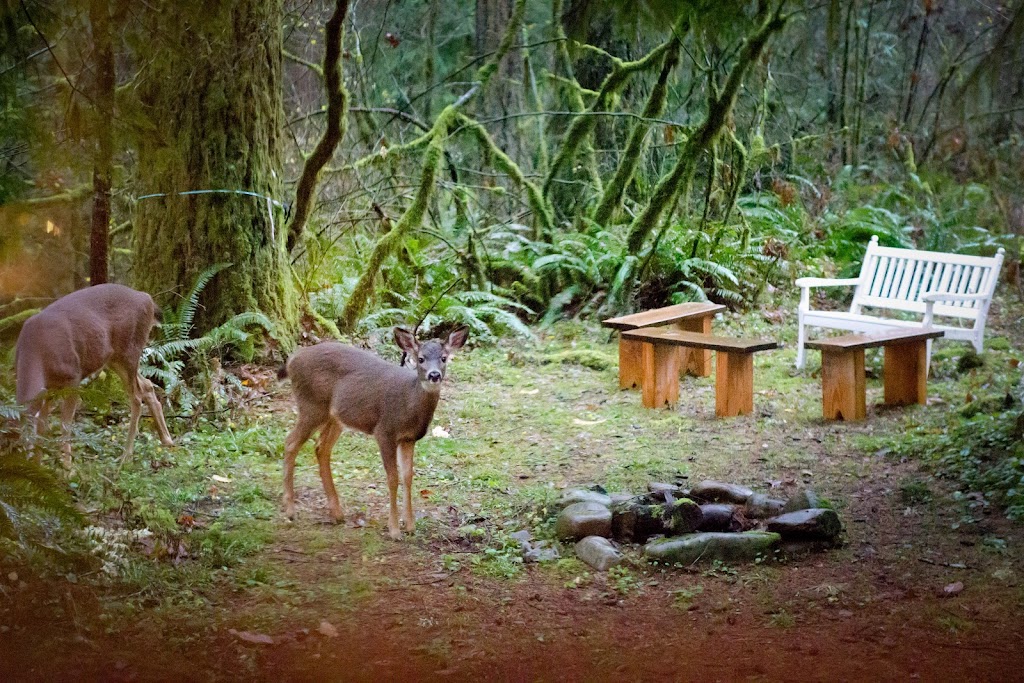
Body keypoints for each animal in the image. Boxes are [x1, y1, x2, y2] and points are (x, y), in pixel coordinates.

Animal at [15, 280, 174, 466]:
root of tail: (147, 298)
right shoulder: (49, 387)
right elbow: (42, 424)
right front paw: (39, 466)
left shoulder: (73, 377)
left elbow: (65, 424)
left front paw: (67, 467)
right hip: (114, 358)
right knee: (147, 385)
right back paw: (167, 440)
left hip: (130, 349)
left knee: (136, 395)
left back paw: (126, 455)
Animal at [280, 325, 471, 540]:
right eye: (421, 358)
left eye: (444, 358)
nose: (434, 375)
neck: (409, 403)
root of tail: (293, 359)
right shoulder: (385, 431)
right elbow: (393, 478)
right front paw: (394, 530)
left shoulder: (409, 438)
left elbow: (408, 476)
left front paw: (410, 526)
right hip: (311, 406)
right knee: (291, 443)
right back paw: (290, 511)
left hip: (335, 417)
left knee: (321, 448)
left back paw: (337, 513)